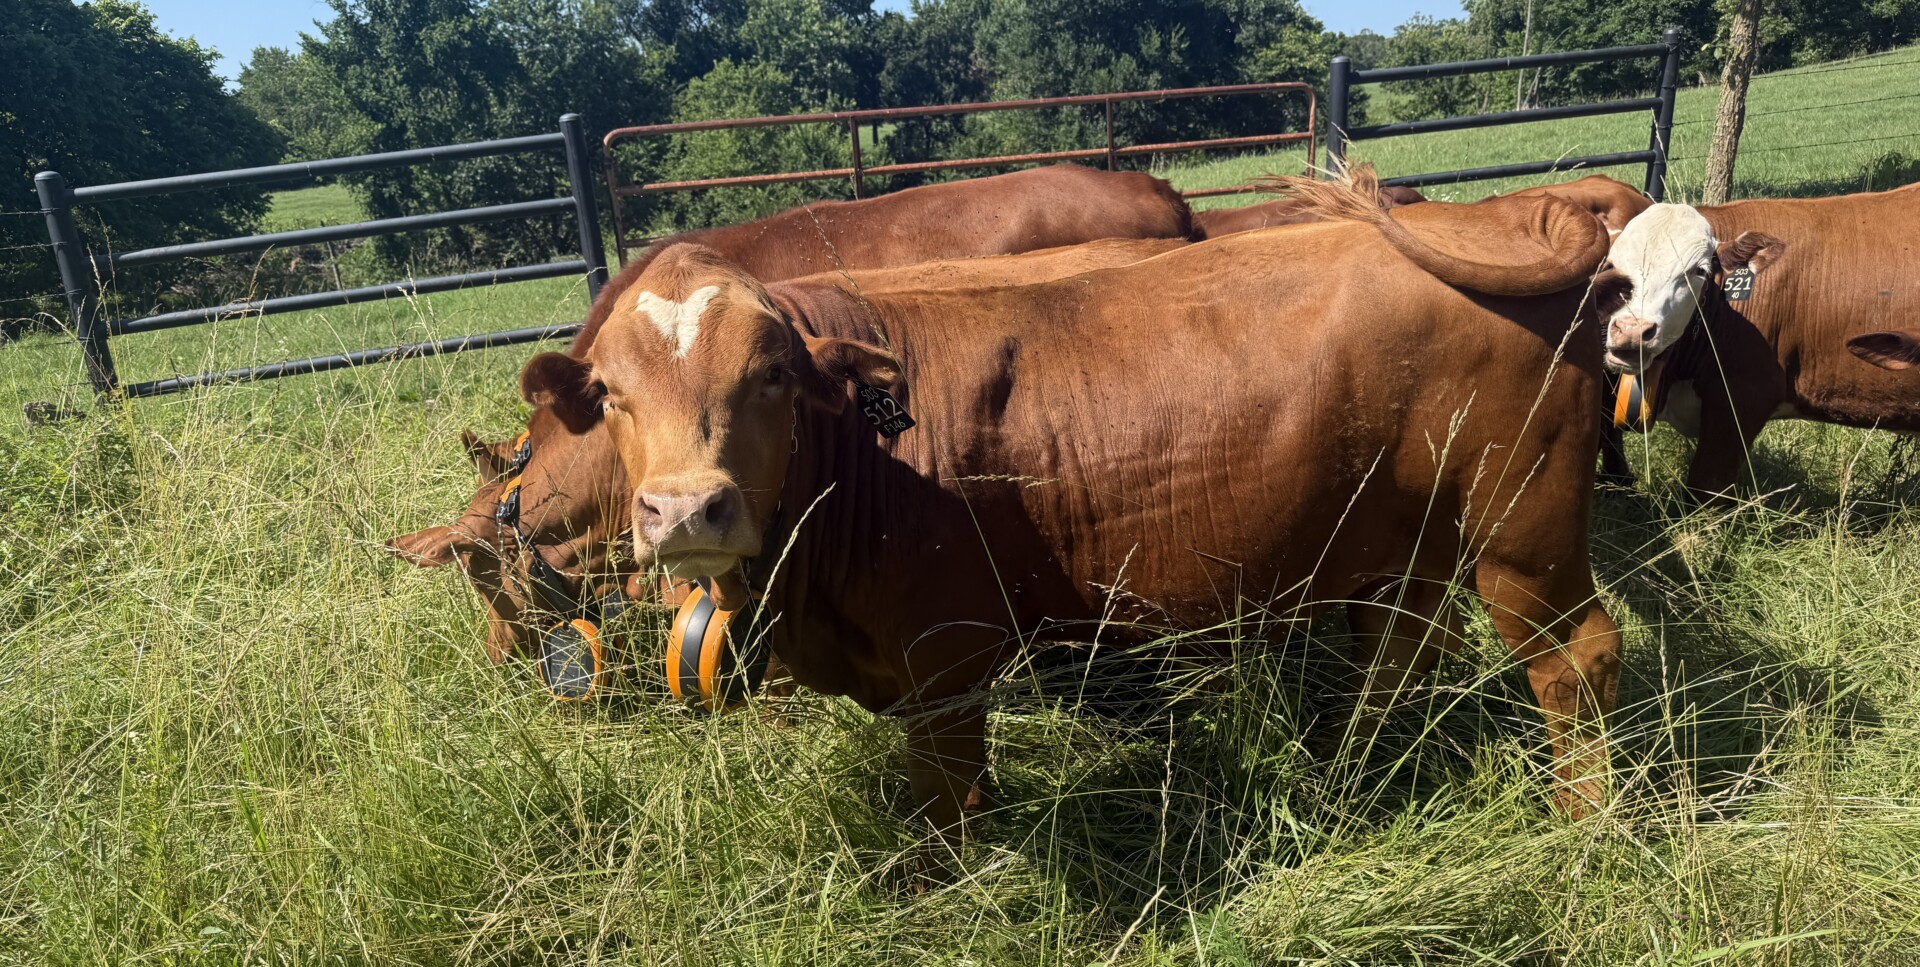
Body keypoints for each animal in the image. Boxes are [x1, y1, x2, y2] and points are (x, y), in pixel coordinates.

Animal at [518, 166, 1624, 843]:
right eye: (609, 393)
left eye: (773, 374)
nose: (685, 510)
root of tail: (1499, 214)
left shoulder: (948, 664)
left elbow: (949, 811)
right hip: (1407, 542)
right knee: (1399, 656)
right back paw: (1351, 779)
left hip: (1524, 536)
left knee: (1576, 661)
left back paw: (1587, 823)